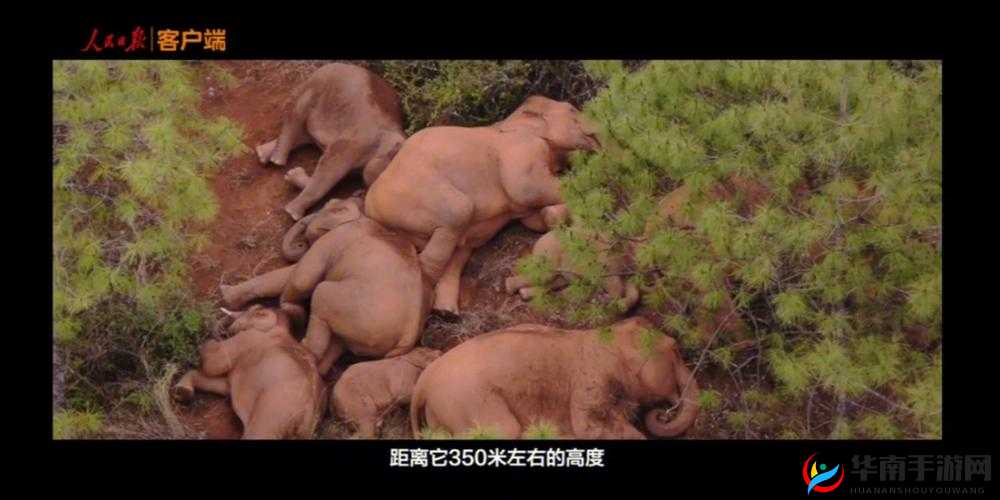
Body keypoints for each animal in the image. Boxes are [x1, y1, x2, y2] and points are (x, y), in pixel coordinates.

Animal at [171, 305, 325, 439]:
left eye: (252, 309)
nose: (227, 327)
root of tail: (305, 418)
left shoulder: (247, 338)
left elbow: (213, 363)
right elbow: (224, 385)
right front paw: (182, 392)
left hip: (271, 415)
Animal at [219, 197, 433, 377]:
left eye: (330, 207)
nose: (301, 242)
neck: (362, 215)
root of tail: (406, 339)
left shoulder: (335, 237)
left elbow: (301, 276)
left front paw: (227, 295)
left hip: (349, 308)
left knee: (319, 296)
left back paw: (301, 345)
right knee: (337, 345)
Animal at [255, 63, 406, 221]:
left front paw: (292, 175)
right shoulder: (357, 141)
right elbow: (330, 166)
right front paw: (292, 213)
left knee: (304, 134)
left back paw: (263, 154)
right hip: (316, 85)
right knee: (296, 115)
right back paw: (277, 160)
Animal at [364, 95, 596, 315]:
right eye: (572, 109)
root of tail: (369, 207)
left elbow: (532, 218)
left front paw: (552, 215)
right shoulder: (522, 148)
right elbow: (526, 188)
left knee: (461, 249)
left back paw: (446, 311)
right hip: (409, 193)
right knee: (458, 212)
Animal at [410, 317, 700, 439]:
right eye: (675, 349)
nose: (663, 414)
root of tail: (423, 382)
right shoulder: (591, 381)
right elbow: (590, 429)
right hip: (466, 402)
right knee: (505, 430)